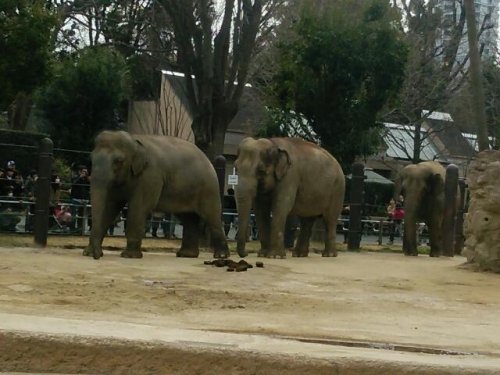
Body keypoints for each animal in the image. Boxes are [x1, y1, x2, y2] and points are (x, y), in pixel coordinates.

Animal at [83, 131, 229, 260]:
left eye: (118, 161)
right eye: (91, 159)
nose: (97, 256)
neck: (134, 140)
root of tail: (207, 159)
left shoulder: (150, 175)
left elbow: (139, 207)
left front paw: (129, 256)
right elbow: (110, 207)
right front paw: (88, 253)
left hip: (208, 188)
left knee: (211, 216)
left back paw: (220, 256)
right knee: (189, 218)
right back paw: (186, 255)